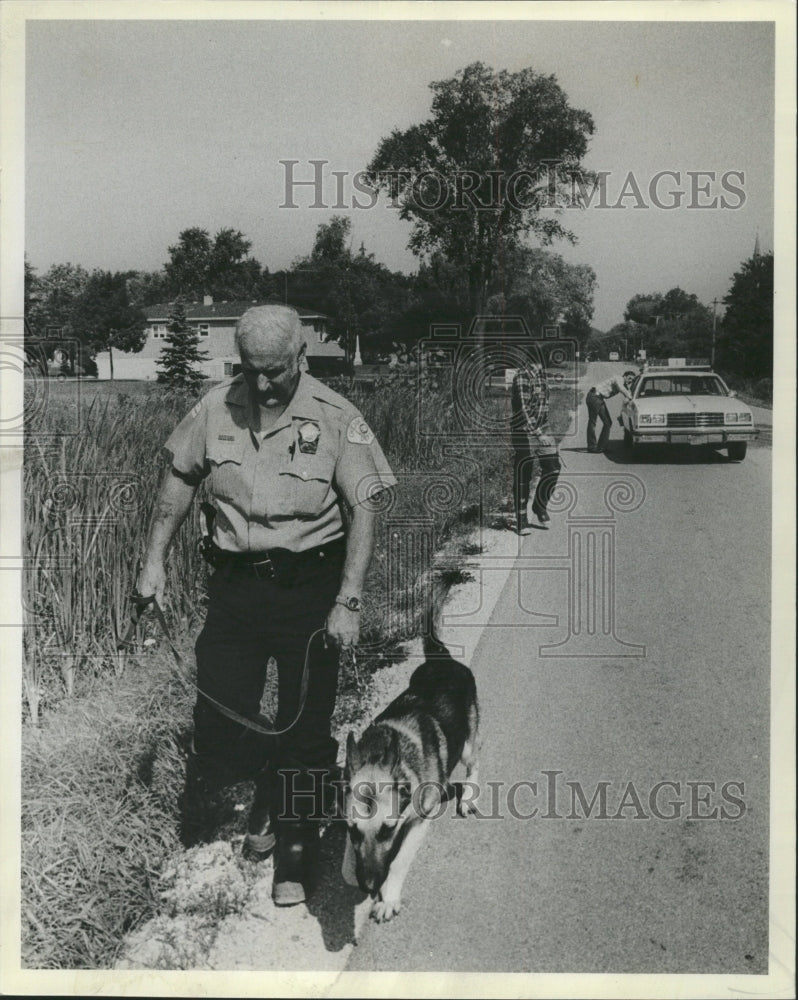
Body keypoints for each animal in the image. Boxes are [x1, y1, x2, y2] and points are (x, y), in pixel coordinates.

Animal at [340, 632, 478, 920]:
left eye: (388, 829)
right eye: (352, 830)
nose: (369, 886)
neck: (380, 750)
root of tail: (443, 660)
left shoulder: (418, 823)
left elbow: (398, 860)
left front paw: (388, 896)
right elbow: (346, 871)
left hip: (467, 746)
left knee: (475, 763)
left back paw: (469, 796)